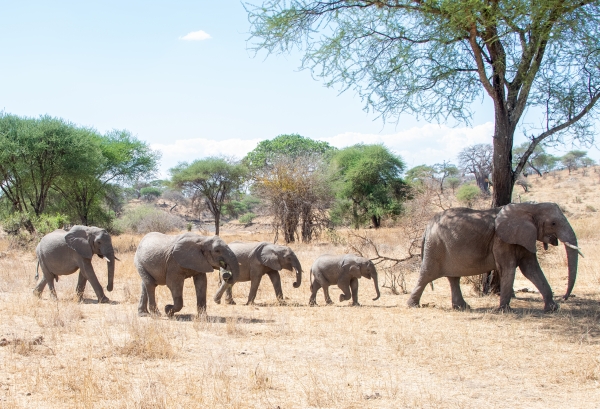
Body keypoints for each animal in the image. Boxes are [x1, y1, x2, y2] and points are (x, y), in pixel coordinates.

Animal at [408, 202, 580, 312]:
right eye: (553, 223)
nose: (564, 298)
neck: (530, 207)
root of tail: (427, 227)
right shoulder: (501, 240)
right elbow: (508, 268)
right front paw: (505, 310)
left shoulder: (524, 238)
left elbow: (531, 269)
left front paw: (553, 309)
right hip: (435, 246)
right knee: (427, 274)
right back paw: (413, 305)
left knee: (453, 278)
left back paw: (462, 307)